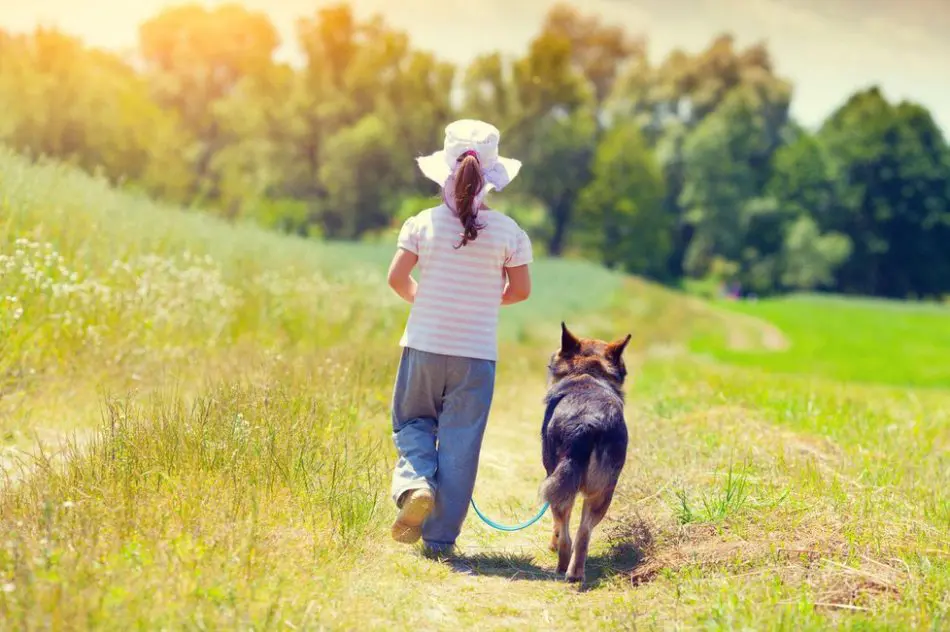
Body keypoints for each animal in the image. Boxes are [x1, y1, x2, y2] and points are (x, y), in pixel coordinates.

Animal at [540, 324, 628, 584]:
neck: (588, 371)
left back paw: (562, 567)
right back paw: (575, 572)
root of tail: (586, 422)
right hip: (603, 491)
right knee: (583, 534)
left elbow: (557, 527)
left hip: (561, 485)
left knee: (566, 532)